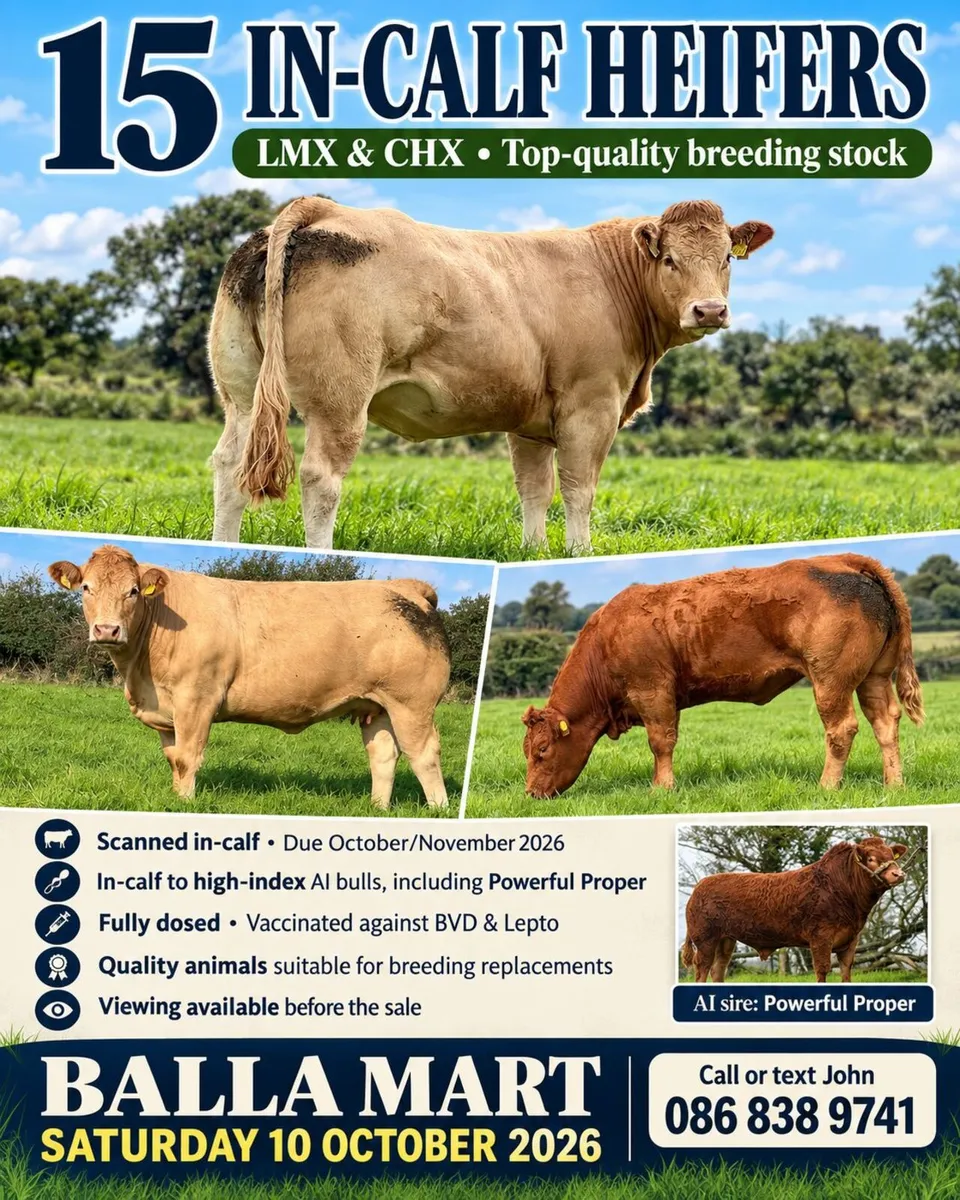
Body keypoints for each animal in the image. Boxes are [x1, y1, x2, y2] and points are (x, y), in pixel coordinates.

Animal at [48, 545, 451, 808]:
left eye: (132, 591)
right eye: (87, 588)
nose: (107, 629)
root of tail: (404, 586)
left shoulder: (196, 698)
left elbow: (187, 757)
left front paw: (184, 804)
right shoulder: (165, 710)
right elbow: (173, 757)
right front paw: (175, 797)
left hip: (412, 704)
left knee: (424, 754)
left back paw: (439, 810)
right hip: (375, 705)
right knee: (383, 755)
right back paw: (376, 808)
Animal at [208, 197, 774, 552]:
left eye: (726, 259)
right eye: (671, 259)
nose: (709, 310)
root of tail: (319, 208)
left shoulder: (530, 420)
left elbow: (534, 488)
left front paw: (534, 550)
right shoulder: (591, 404)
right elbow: (579, 487)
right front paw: (579, 551)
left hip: (240, 391)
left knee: (229, 466)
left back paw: (224, 552)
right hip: (340, 399)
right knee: (321, 478)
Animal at [522, 553, 924, 797]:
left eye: (542, 750)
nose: (530, 794)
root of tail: (844, 560)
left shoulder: (652, 691)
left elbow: (660, 742)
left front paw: (662, 789)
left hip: (831, 681)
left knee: (841, 729)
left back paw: (826, 787)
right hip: (874, 677)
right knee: (885, 722)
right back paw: (894, 785)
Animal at [681, 836, 910, 983]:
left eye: (891, 855)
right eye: (871, 859)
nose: (898, 874)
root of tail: (699, 886)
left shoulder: (851, 940)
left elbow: (846, 971)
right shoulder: (820, 937)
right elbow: (822, 970)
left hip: (725, 940)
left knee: (718, 970)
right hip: (705, 939)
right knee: (702, 969)